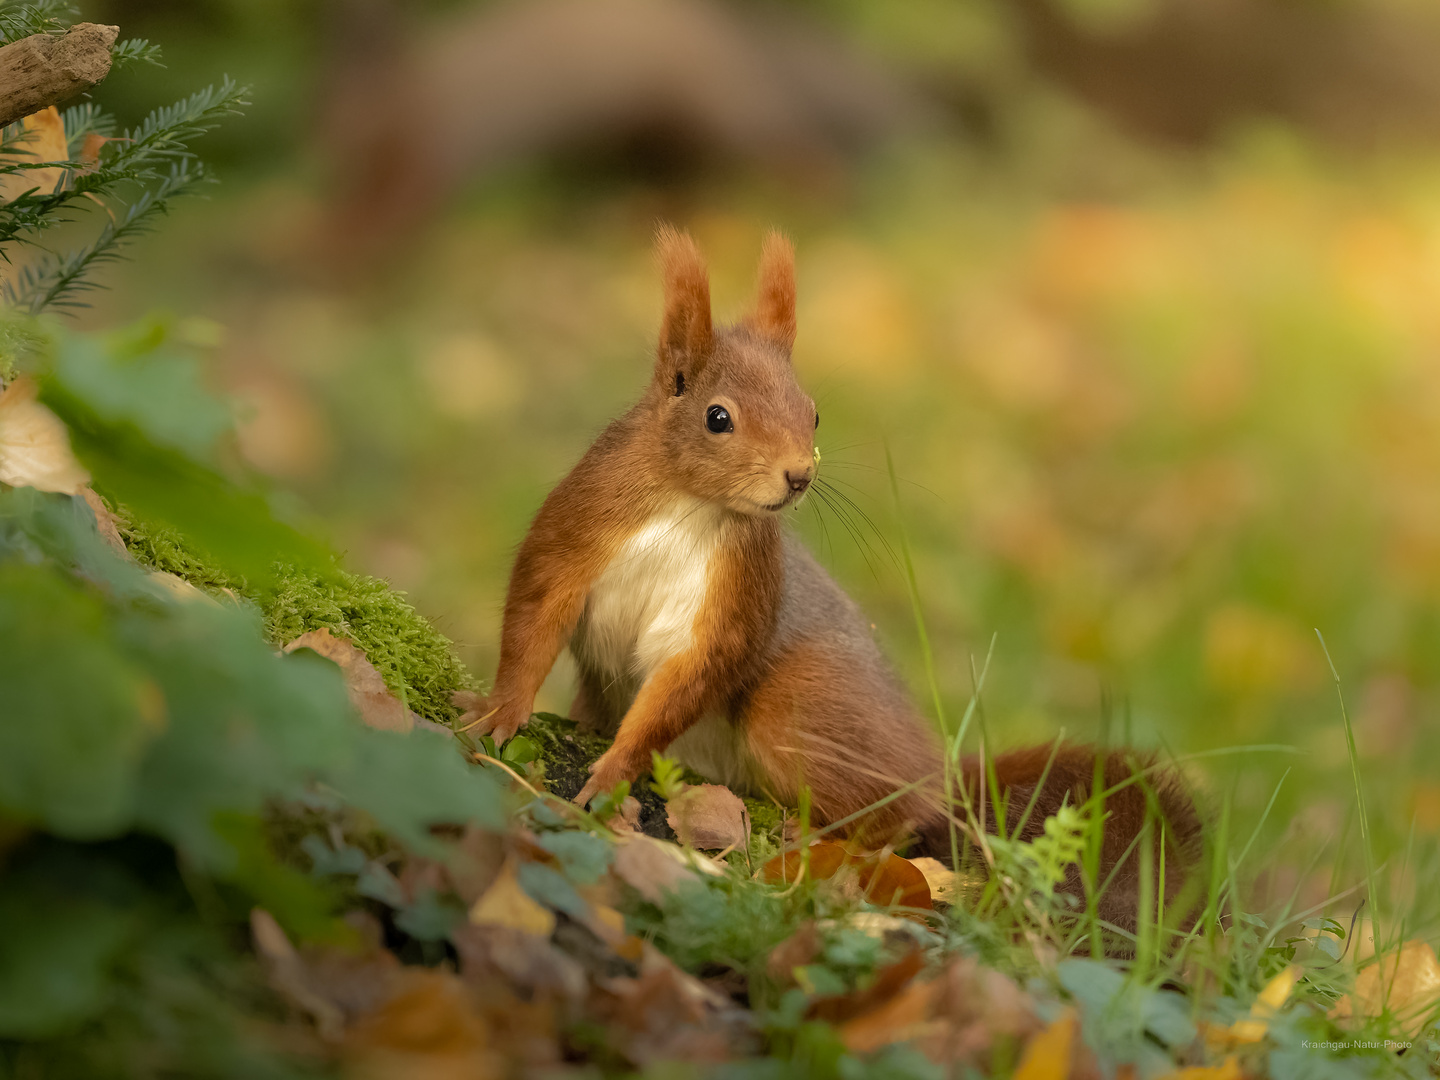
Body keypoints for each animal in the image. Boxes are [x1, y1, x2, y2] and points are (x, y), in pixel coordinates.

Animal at [463, 226, 1203, 933]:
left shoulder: (739, 591)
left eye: (813, 411)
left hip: (798, 709)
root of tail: (935, 771)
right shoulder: (576, 534)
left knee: (899, 815)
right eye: (717, 417)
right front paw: (499, 709)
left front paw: (617, 767)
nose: (798, 475)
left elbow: (691, 676)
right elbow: (533, 619)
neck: (688, 505)